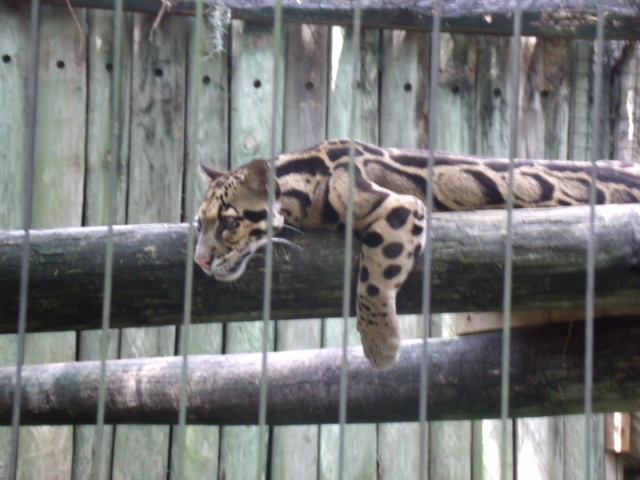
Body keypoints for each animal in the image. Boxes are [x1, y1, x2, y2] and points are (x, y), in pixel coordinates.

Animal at [194, 138, 640, 369]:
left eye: (229, 222)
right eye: (199, 224)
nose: (200, 260)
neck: (307, 172)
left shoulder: (400, 207)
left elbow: (372, 282)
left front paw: (380, 343)